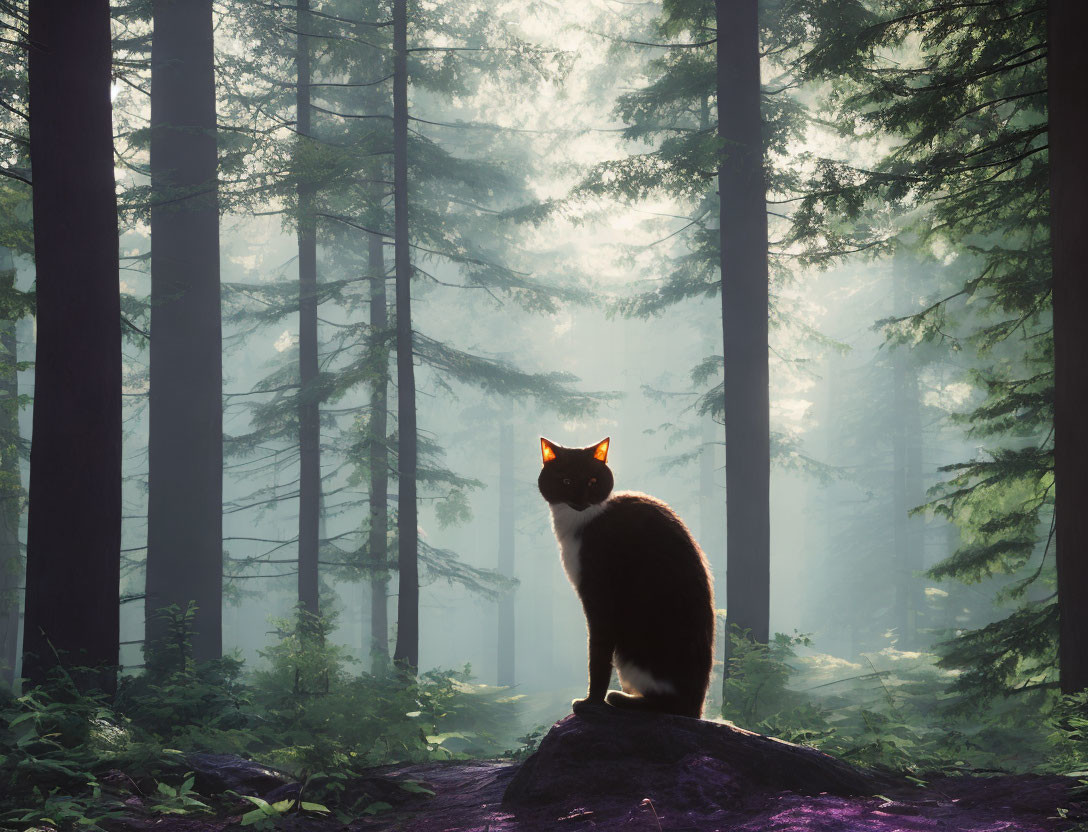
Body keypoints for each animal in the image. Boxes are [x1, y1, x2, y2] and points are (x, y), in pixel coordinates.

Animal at [537, 437, 713, 717]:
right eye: (565, 481)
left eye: (592, 481)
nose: (581, 499)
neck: (582, 519)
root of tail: (697, 707)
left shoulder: (598, 594)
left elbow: (598, 655)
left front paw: (590, 703)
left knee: (669, 706)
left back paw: (621, 699)